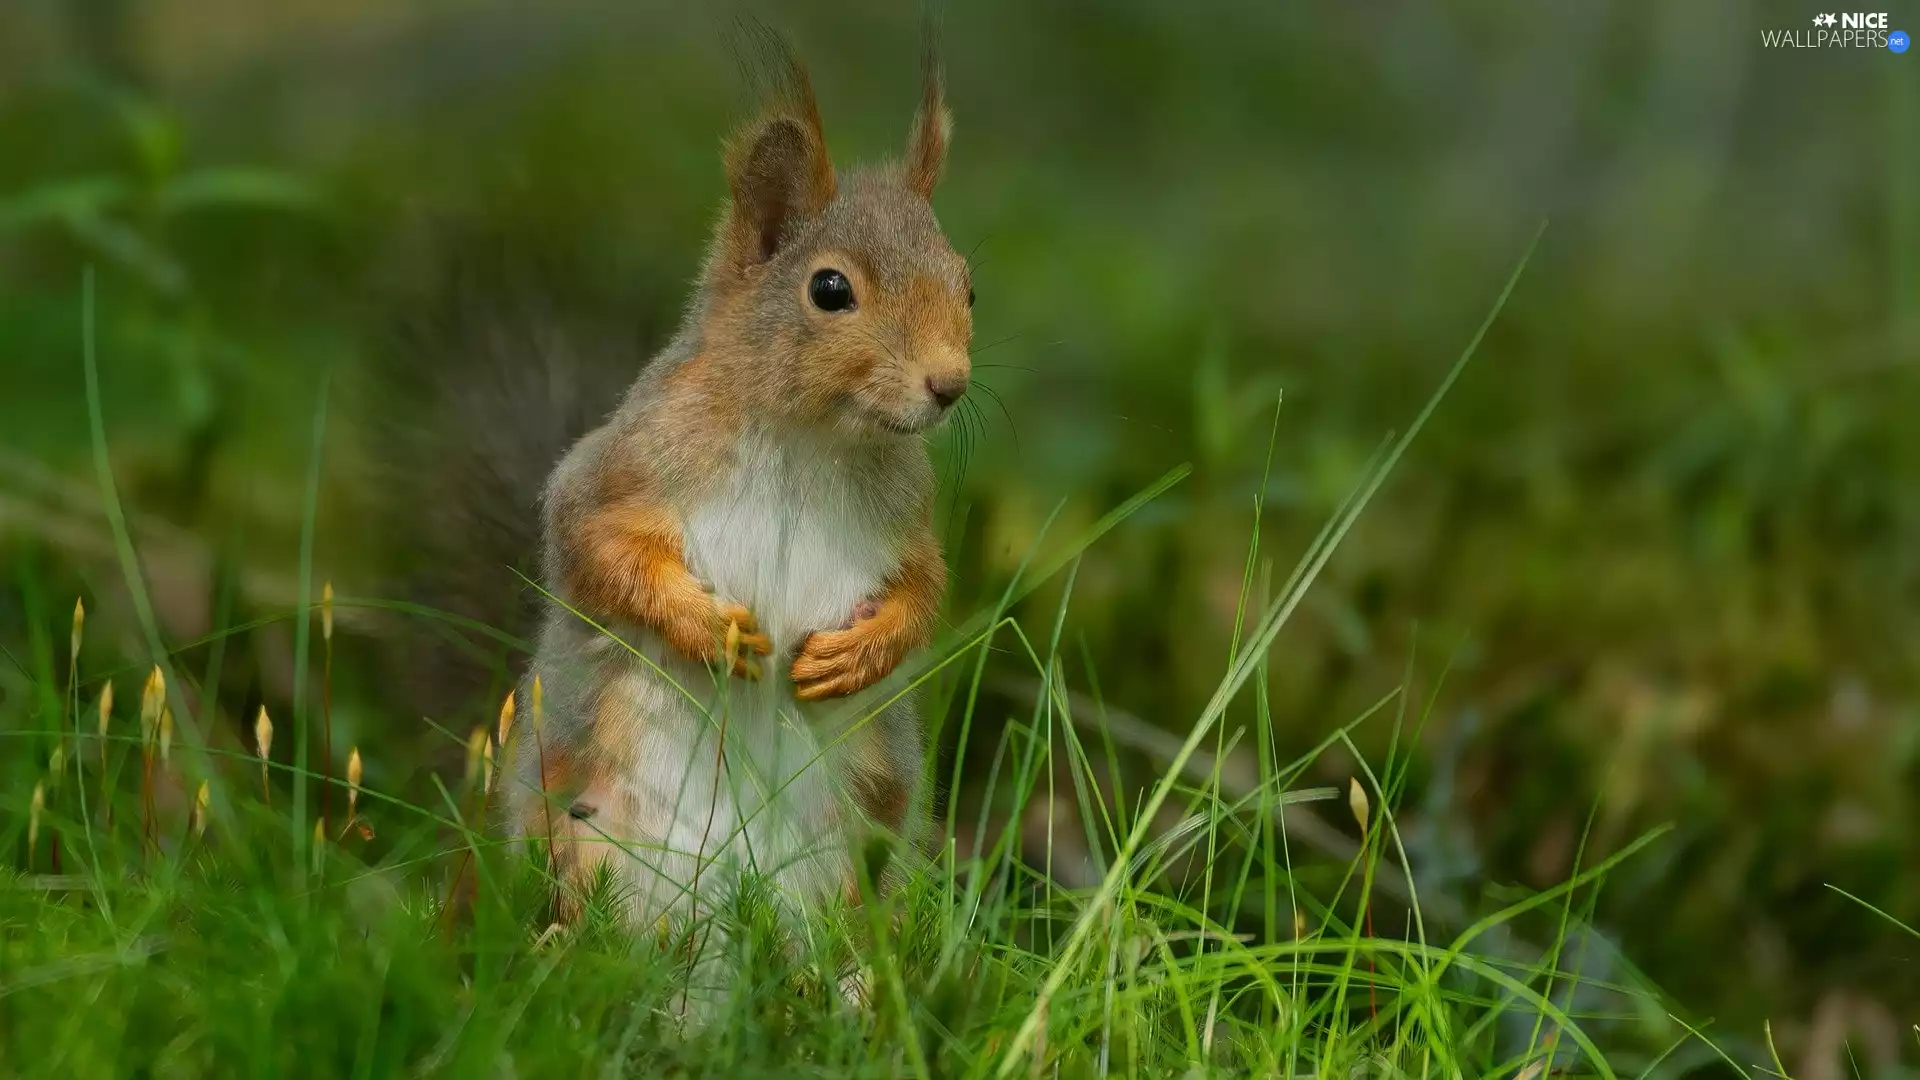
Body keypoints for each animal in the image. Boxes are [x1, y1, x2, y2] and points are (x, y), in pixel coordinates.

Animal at [382, 39, 974, 935]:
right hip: (580, 828)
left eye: (968, 284)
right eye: (830, 290)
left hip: (854, 860)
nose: (950, 385)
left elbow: (925, 588)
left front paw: (859, 653)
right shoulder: (626, 463)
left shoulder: (907, 517)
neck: (808, 439)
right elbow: (591, 543)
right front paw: (714, 632)